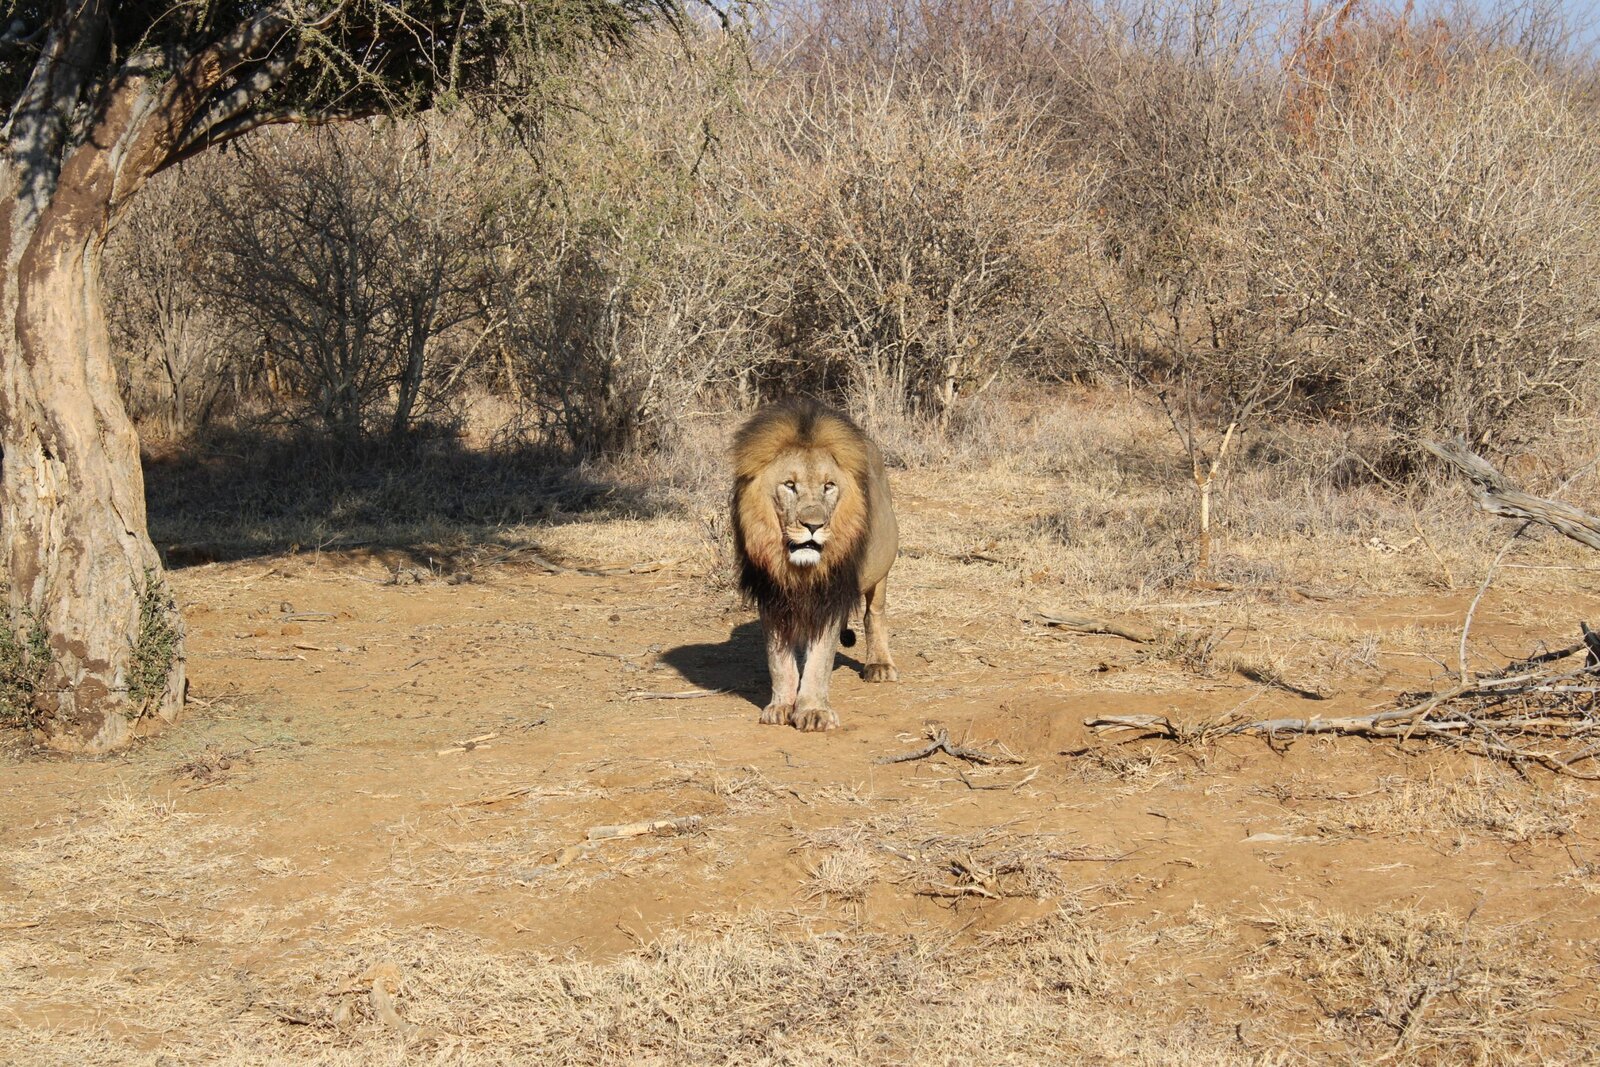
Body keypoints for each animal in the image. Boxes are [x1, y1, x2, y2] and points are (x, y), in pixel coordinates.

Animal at [731, 398, 899, 731]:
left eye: (829, 486)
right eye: (789, 485)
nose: (813, 525)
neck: (800, 569)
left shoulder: (829, 595)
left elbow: (820, 660)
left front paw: (813, 711)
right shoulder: (772, 595)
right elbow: (779, 661)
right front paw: (781, 706)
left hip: (881, 566)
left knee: (874, 614)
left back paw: (879, 665)